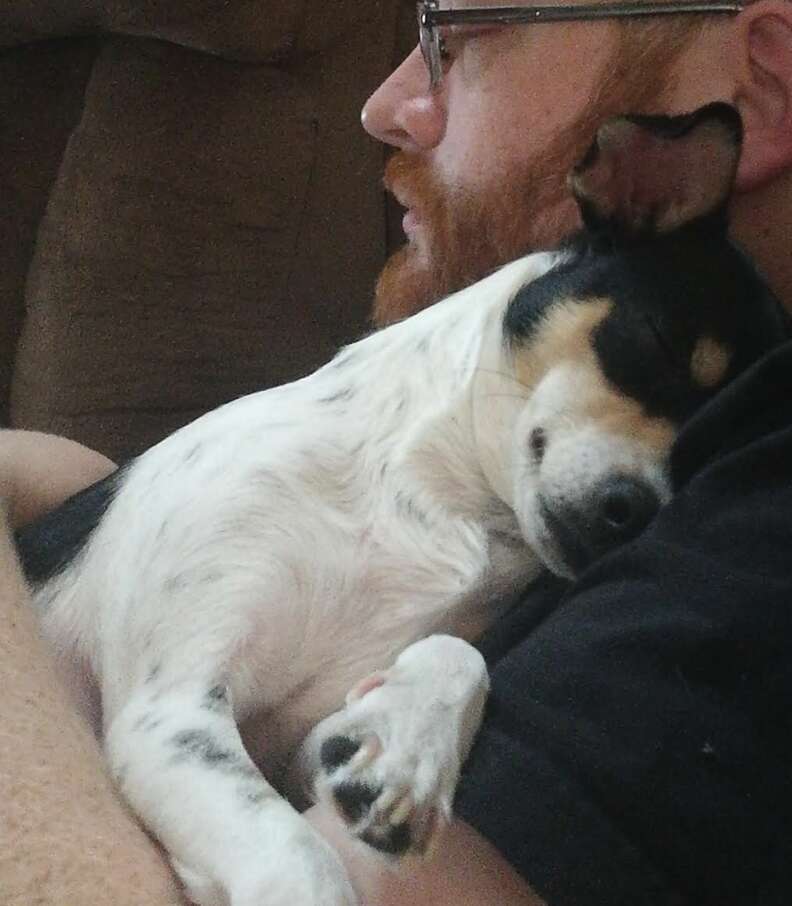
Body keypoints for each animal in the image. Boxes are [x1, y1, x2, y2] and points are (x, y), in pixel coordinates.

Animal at [15, 100, 788, 904]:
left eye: (710, 455)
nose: (633, 510)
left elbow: (454, 653)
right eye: (657, 343)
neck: (440, 507)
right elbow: (302, 863)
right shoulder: (169, 709)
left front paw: (406, 748)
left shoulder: (290, 744)